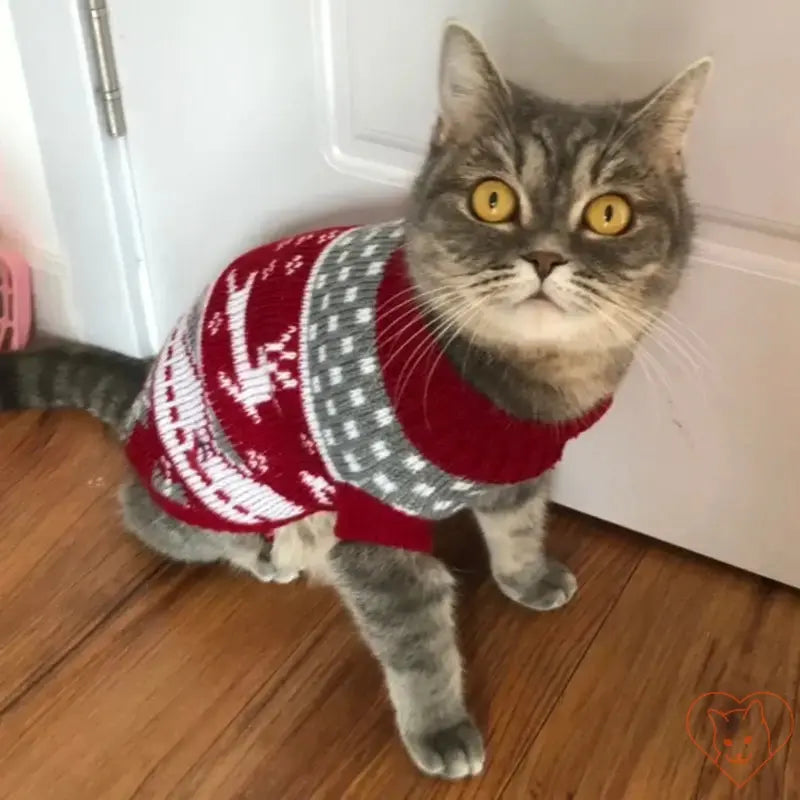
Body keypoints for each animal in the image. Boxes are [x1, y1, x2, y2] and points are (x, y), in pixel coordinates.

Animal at [0, 25, 712, 780]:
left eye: (610, 214)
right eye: (492, 200)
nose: (546, 258)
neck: (525, 385)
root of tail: (144, 383)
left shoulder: (517, 467)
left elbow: (519, 527)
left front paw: (527, 577)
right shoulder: (374, 526)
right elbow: (416, 639)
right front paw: (439, 727)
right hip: (217, 500)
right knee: (148, 516)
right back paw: (274, 551)